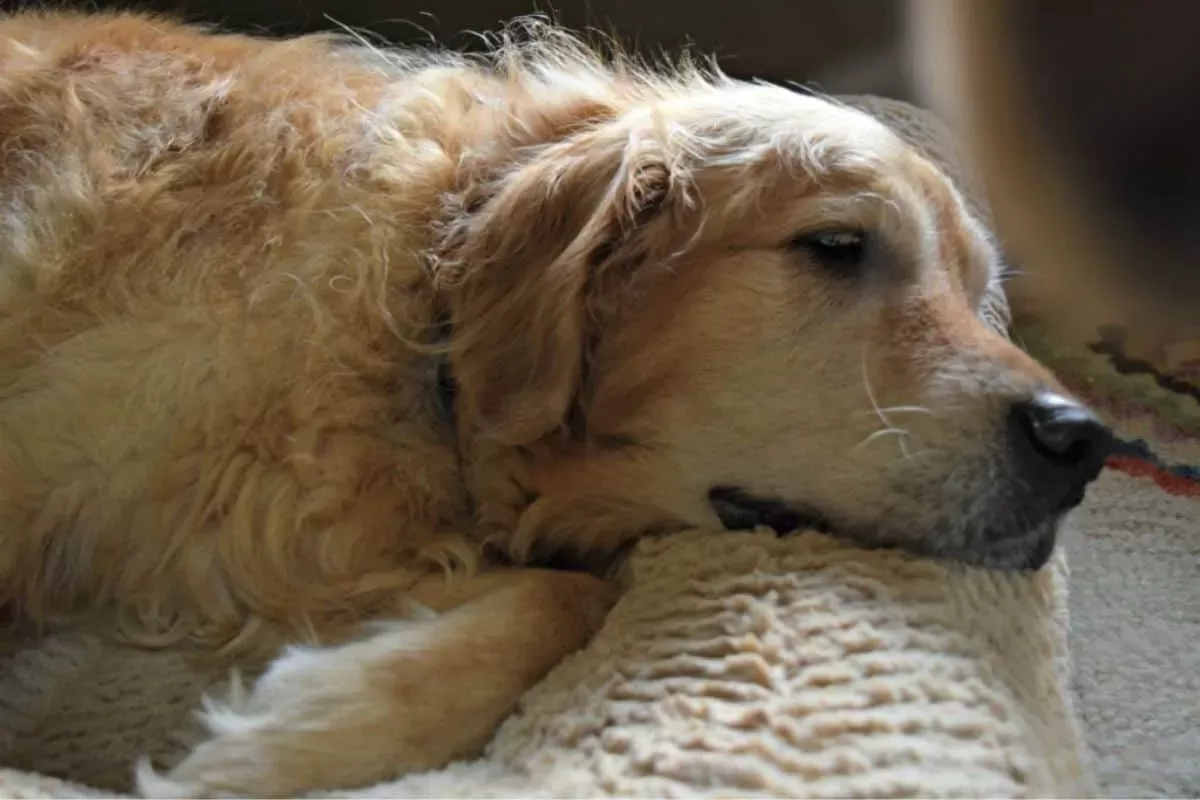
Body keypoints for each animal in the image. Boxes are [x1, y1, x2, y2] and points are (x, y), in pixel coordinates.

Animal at [0, 9, 1108, 796]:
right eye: (836, 245)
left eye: (976, 289)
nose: (1083, 442)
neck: (423, 321)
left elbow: (568, 595)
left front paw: (303, 726)